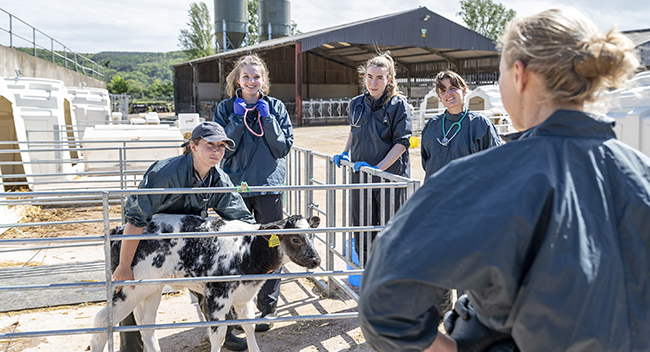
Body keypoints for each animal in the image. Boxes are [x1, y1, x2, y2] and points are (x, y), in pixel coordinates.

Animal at [90, 214, 318, 352]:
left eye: (313, 235)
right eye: (295, 238)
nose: (316, 259)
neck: (248, 247)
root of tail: (118, 230)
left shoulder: (243, 296)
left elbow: (249, 325)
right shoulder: (218, 296)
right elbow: (218, 334)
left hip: (152, 289)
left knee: (146, 325)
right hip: (129, 288)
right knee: (102, 320)